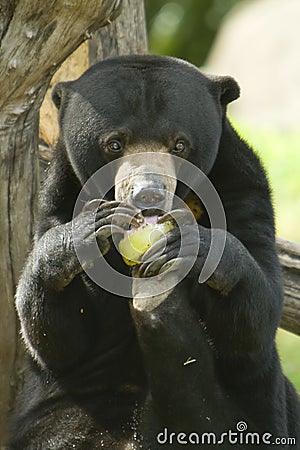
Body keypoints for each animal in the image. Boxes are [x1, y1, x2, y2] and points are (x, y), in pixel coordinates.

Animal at [8, 57, 298, 450]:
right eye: (115, 143)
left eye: (180, 145)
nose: (148, 193)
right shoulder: (57, 199)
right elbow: (58, 339)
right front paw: (87, 231)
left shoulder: (245, 193)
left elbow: (255, 321)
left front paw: (190, 245)